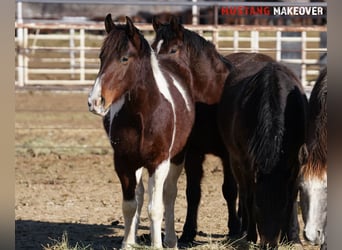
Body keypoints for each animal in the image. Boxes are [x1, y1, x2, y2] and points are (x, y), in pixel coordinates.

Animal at [87, 15, 196, 248]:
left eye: (124, 58)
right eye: (101, 57)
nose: (95, 101)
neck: (143, 114)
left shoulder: (159, 162)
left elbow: (155, 208)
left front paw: (157, 245)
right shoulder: (123, 163)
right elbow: (130, 205)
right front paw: (127, 244)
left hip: (177, 158)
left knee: (169, 194)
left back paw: (171, 240)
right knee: (139, 195)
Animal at [152, 16, 240, 244]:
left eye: (173, 49)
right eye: (153, 48)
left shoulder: (228, 154)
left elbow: (230, 190)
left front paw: (235, 229)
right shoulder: (193, 152)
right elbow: (193, 193)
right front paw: (187, 233)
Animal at [218, 61, 308, 249]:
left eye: (281, 206)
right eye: (259, 206)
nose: (269, 244)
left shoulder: (296, 162)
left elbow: (292, 196)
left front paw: (292, 238)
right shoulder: (246, 163)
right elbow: (249, 197)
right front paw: (251, 236)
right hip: (235, 161)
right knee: (243, 192)